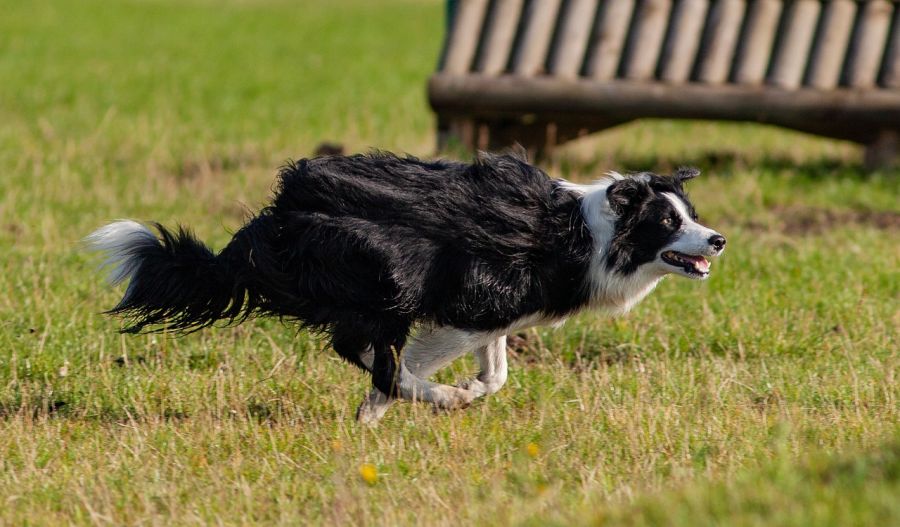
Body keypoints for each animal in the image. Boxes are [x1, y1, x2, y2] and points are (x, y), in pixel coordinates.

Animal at [88, 151, 724, 422]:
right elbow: (416, 365)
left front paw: (461, 389)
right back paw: (431, 398)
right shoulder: (468, 302)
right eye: (667, 222)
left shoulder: (497, 313)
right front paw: (416, 402)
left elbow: (497, 371)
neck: (592, 234)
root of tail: (275, 215)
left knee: (359, 347)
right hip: (391, 270)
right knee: (366, 350)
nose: (717, 240)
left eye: (690, 214)